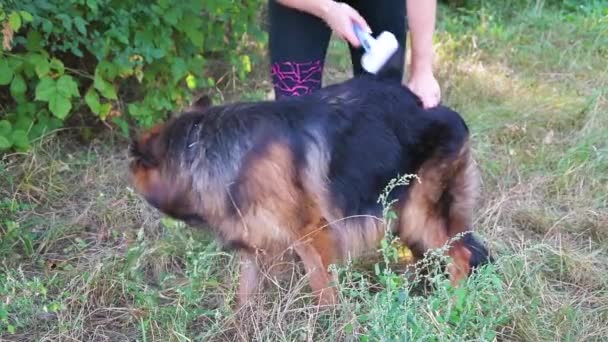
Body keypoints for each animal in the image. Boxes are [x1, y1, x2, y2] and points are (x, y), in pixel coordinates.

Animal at [128, 68, 490, 306]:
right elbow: (245, 299)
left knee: (461, 256)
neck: (202, 148)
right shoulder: (253, 243)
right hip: (402, 218)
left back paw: (449, 305)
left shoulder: (312, 235)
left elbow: (323, 289)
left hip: (421, 214)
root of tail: (436, 109)